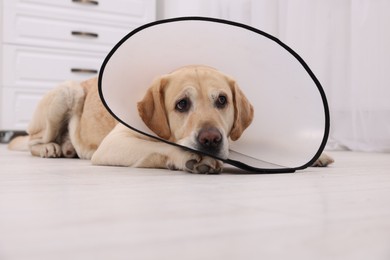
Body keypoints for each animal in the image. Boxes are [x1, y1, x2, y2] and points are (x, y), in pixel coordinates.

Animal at [7, 65, 334, 173]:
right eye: (182, 104)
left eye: (222, 100)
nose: (211, 139)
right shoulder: (113, 145)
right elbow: (163, 145)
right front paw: (189, 157)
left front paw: (315, 155)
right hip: (67, 91)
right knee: (32, 139)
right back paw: (52, 147)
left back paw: (66, 147)